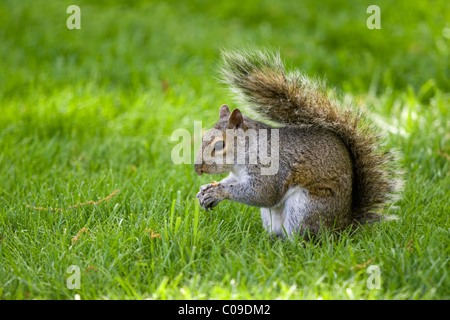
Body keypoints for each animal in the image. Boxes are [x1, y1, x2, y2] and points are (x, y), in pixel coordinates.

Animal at [193, 50, 400, 239]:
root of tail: (343, 229)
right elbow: (233, 182)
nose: (197, 169)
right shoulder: (238, 174)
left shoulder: (270, 167)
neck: (249, 149)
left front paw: (219, 192)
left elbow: (262, 193)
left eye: (219, 145)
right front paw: (205, 190)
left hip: (305, 208)